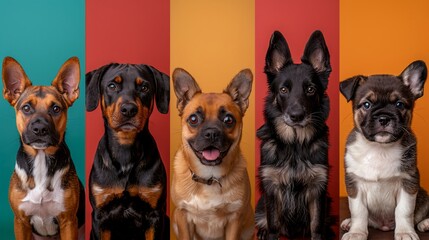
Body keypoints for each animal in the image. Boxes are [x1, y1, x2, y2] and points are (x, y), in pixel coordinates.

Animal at [2, 57, 84, 240]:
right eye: (26, 108)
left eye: (56, 109)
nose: (40, 129)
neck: (40, 159)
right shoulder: (20, 221)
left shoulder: (68, 221)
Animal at [171, 68, 254, 240]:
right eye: (193, 119)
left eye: (228, 119)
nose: (211, 133)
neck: (209, 177)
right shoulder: (182, 216)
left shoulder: (235, 219)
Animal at [256, 30, 332, 240]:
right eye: (283, 90)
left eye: (310, 89)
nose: (296, 116)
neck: (296, 144)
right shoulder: (272, 188)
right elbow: (273, 224)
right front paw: (269, 233)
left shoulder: (317, 188)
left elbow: (316, 225)